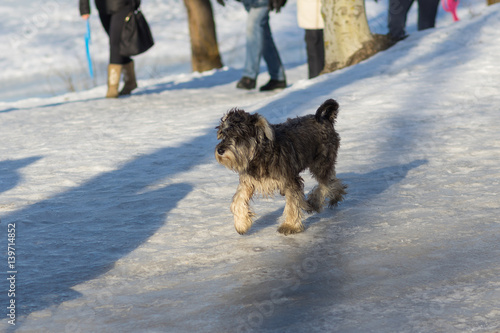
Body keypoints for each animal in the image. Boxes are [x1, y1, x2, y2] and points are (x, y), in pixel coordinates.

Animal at [215, 98, 348, 233]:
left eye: (237, 135)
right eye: (223, 134)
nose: (220, 150)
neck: (259, 154)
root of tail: (325, 118)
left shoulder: (290, 181)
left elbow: (292, 203)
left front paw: (290, 225)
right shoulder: (248, 182)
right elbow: (238, 200)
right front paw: (241, 223)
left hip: (321, 163)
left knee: (326, 183)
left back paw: (319, 201)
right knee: (331, 181)